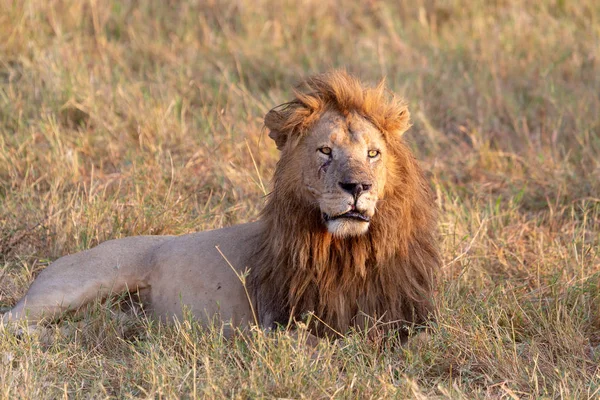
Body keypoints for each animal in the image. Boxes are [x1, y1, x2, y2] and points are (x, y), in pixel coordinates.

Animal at [3, 70, 440, 340]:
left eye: (373, 153)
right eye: (325, 151)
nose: (357, 187)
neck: (351, 252)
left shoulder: (409, 316)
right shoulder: (284, 324)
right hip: (73, 286)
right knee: (10, 321)